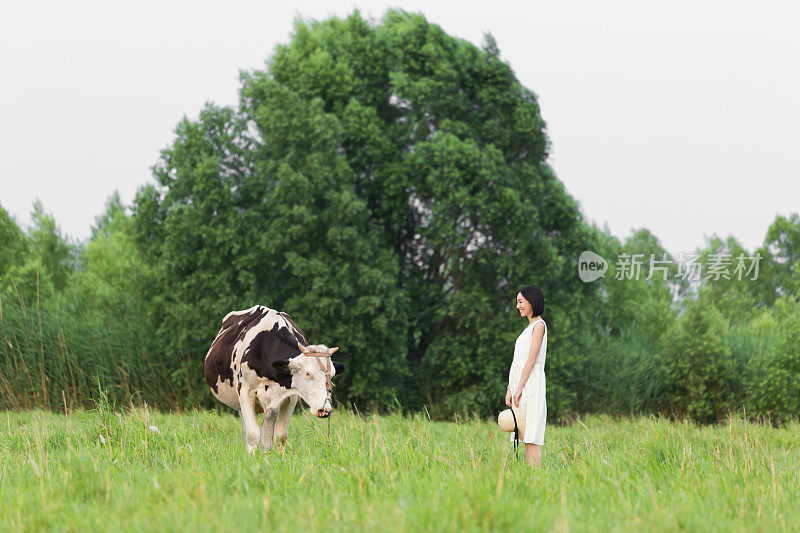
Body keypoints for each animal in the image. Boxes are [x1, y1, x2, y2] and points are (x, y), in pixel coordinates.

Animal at [203, 304, 344, 454]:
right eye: (307, 373)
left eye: (332, 375)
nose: (325, 410)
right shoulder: (245, 391)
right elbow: (253, 434)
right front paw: (252, 457)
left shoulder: (290, 397)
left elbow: (280, 435)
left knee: (266, 431)